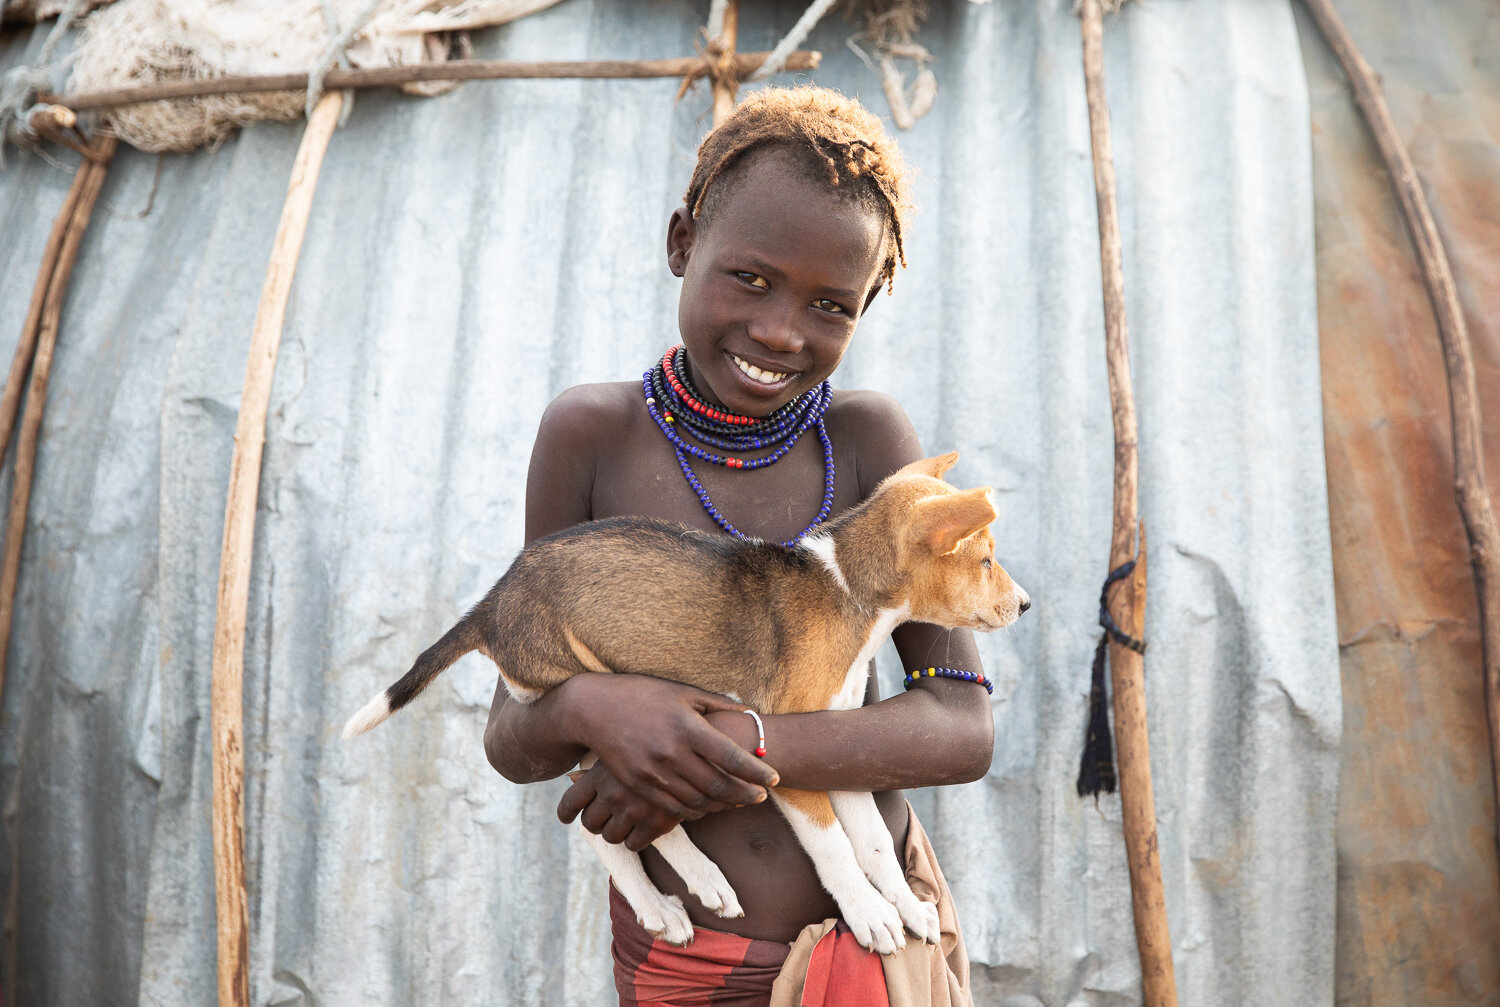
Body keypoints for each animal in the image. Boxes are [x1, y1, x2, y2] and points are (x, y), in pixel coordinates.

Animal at [345, 453, 1032, 954]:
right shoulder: (791, 754)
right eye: (985, 560)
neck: (849, 590)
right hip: (589, 692)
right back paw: (685, 886)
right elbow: (835, 848)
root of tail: (491, 604)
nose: (1025, 605)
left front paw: (907, 907)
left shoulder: (838, 744)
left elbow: (874, 845)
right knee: (604, 817)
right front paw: (870, 915)